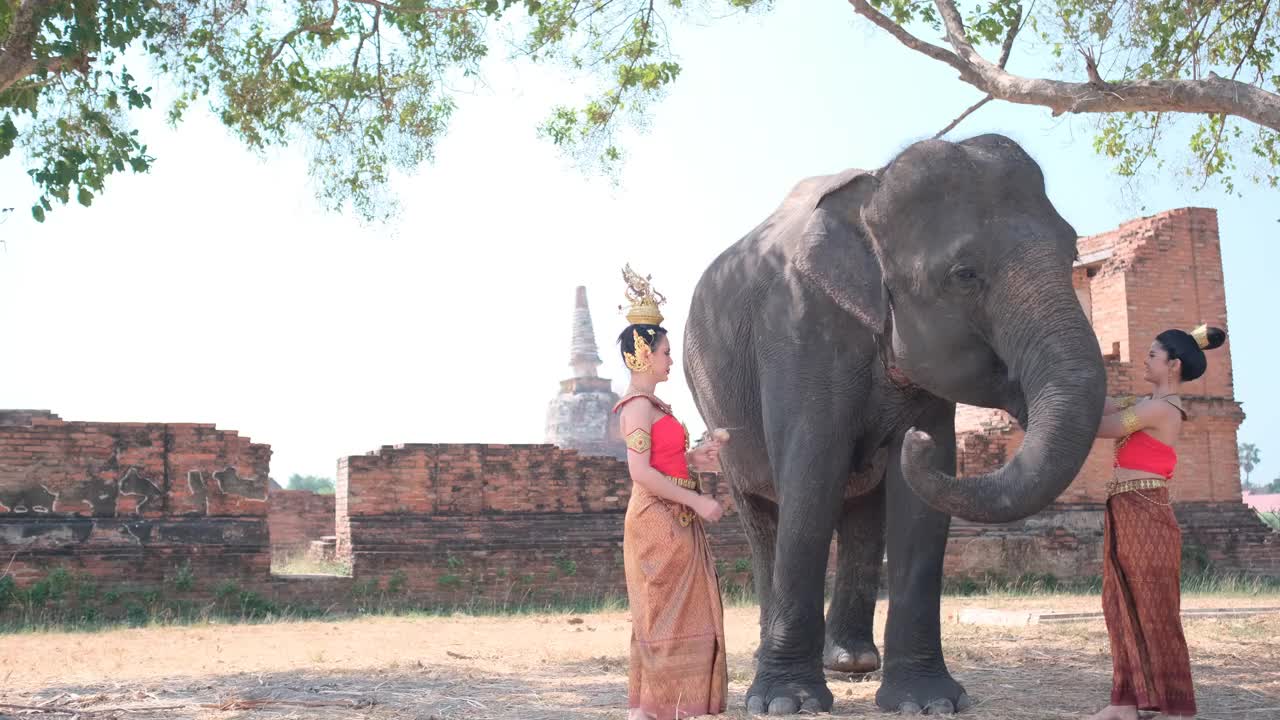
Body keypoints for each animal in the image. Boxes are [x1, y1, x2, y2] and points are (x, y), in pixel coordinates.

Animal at [686, 134, 1105, 712]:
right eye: (964, 275)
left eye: (1072, 254)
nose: (916, 441)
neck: (870, 198)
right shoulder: (796, 329)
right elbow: (811, 473)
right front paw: (787, 704)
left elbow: (921, 503)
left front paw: (928, 704)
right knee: (762, 513)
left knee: (863, 511)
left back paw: (853, 663)